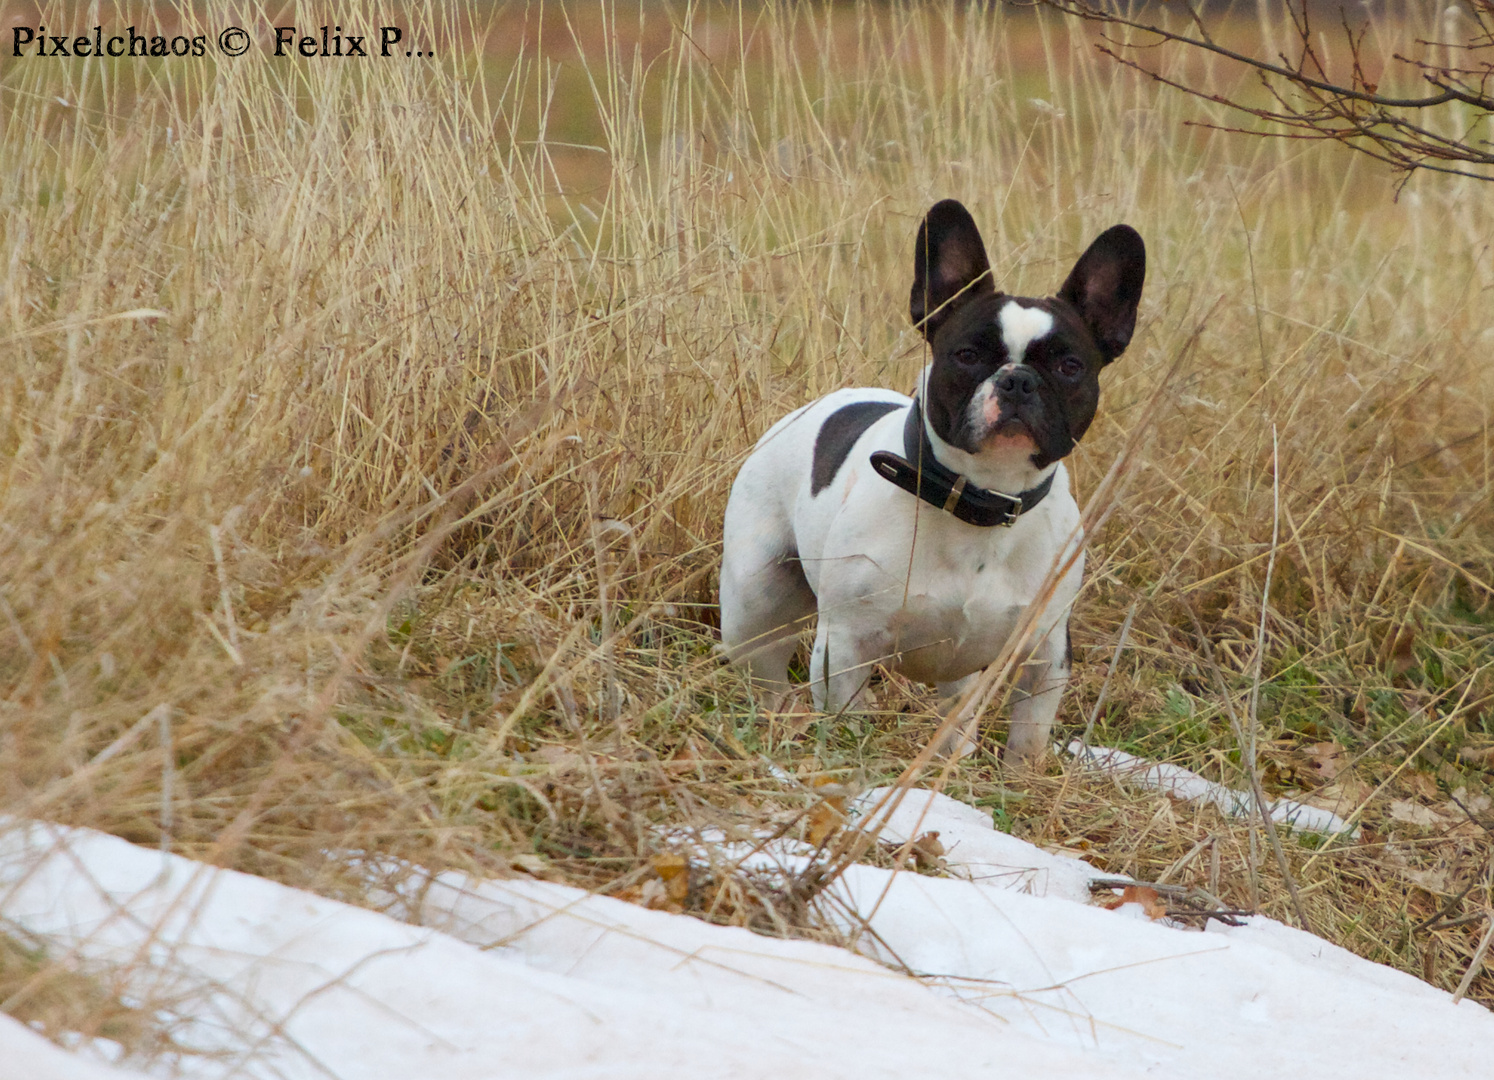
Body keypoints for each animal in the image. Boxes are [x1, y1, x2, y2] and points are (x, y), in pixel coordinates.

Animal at [717, 200, 1147, 761]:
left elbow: (1028, 736)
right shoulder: (845, 644)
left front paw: (1020, 777)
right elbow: (848, 720)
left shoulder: (1045, 653)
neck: (982, 498)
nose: (1018, 380)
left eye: (1071, 366)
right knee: (765, 671)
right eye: (967, 355)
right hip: (753, 602)